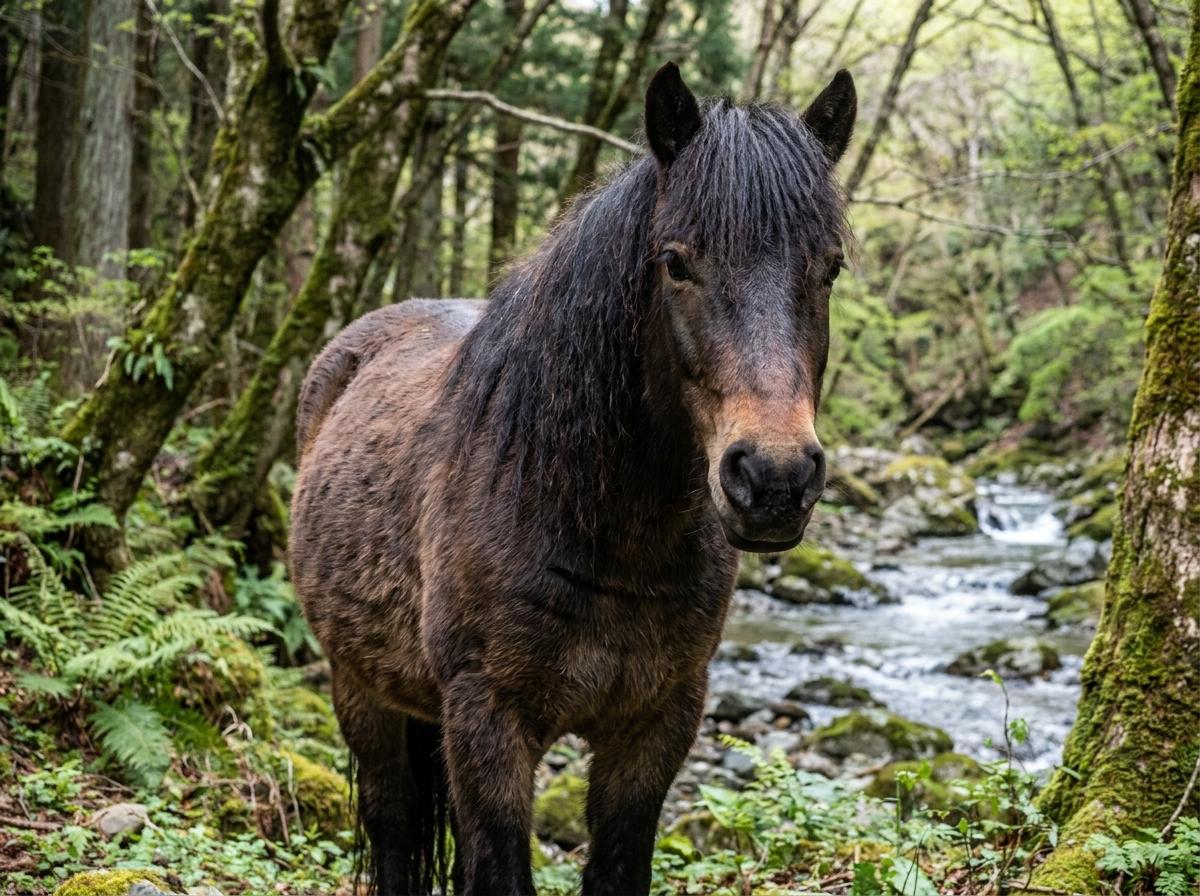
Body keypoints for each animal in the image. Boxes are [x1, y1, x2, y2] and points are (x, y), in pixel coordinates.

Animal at [289, 61, 857, 896]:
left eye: (830, 268)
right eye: (676, 262)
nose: (775, 477)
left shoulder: (654, 729)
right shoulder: (488, 726)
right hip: (361, 693)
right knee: (392, 831)